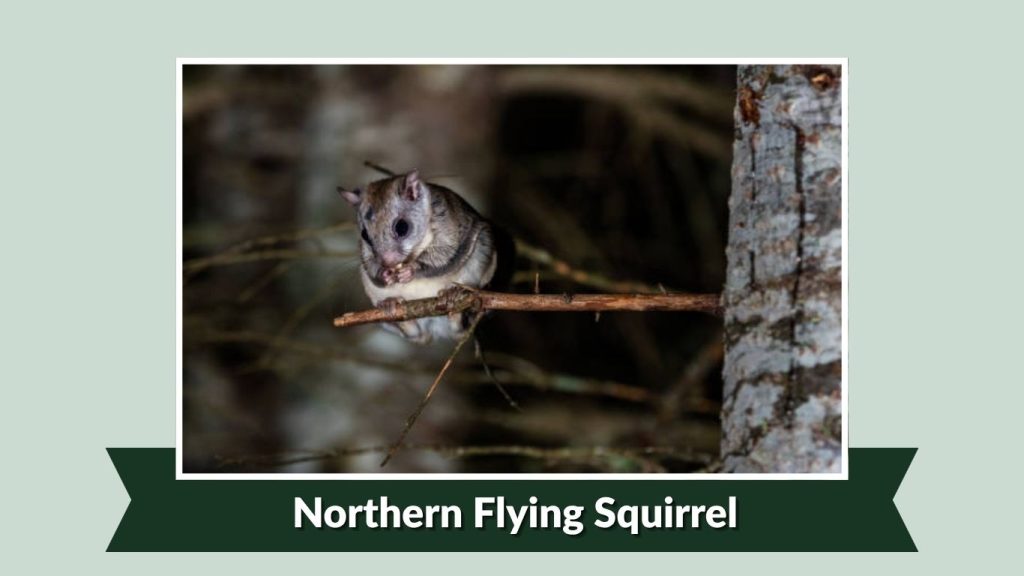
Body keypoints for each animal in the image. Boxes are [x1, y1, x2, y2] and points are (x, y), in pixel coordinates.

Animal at [339, 170, 510, 344]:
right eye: (364, 235)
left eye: (402, 227)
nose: (387, 262)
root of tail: (436, 330)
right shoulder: (366, 256)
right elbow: (371, 267)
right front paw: (384, 274)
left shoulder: (447, 228)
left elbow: (441, 259)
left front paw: (410, 270)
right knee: (415, 333)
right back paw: (391, 305)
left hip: (481, 255)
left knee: (459, 325)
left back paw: (452, 296)